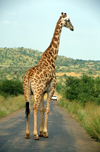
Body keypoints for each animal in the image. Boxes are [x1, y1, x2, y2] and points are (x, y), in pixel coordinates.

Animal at [23, 12, 74, 140]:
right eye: (68, 20)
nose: (72, 28)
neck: (52, 59)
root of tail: (29, 76)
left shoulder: (43, 91)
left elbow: (42, 109)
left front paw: (41, 131)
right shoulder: (51, 89)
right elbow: (47, 109)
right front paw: (44, 132)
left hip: (27, 91)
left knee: (29, 108)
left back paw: (27, 134)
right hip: (37, 90)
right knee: (34, 107)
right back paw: (35, 134)